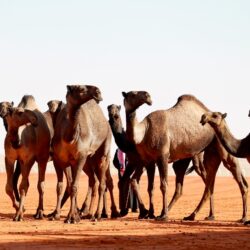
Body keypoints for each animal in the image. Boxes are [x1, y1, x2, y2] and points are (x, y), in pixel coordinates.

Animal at [51, 84, 118, 223]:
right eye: (81, 89)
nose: (98, 92)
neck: (68, 138)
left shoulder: (80, 157)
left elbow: (74, 187)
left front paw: (72, 217)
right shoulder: (60, 160)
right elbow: (63, 186)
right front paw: (57, 215)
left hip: (104, 151)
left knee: (102, 184)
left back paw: (97, 215)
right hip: (89, 161)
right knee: (94, 181)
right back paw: (89, 213)